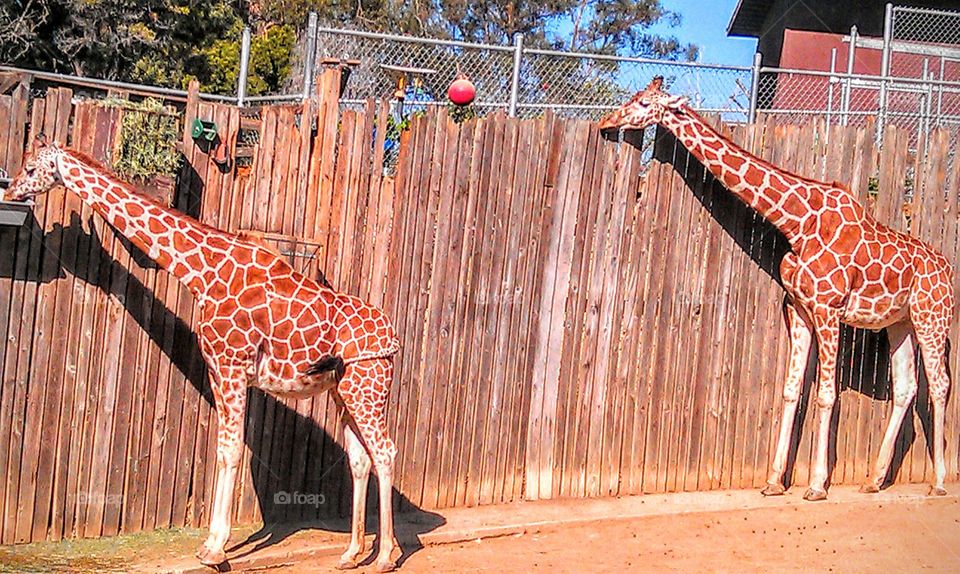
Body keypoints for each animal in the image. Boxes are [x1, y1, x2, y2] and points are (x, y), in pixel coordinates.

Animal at [3, 137, 402, 572]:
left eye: (30, 169)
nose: (11, 191)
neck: (202, 272)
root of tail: (395, 341)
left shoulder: (231, 365)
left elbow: (231, 449)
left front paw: (215, 549)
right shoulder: (216, 369)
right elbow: (224, 449)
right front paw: (211, 544)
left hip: (367, 387)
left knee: (386, 451)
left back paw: (387, 555)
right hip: (343, 391)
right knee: (360, 458)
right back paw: (352, 553)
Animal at [596, 77, 956, 504]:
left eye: (643, 103)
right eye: (634, 97)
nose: (605, 122)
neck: (797, 225)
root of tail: (948, 269)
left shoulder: (828, 309)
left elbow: (826, 394)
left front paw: (816, 485)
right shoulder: (797, 308)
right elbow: (789, 389)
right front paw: (772, 481)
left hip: (932, 319)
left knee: (939, 386)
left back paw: (938, 481)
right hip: (899, 323)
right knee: (905, 388)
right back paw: (873, 479)